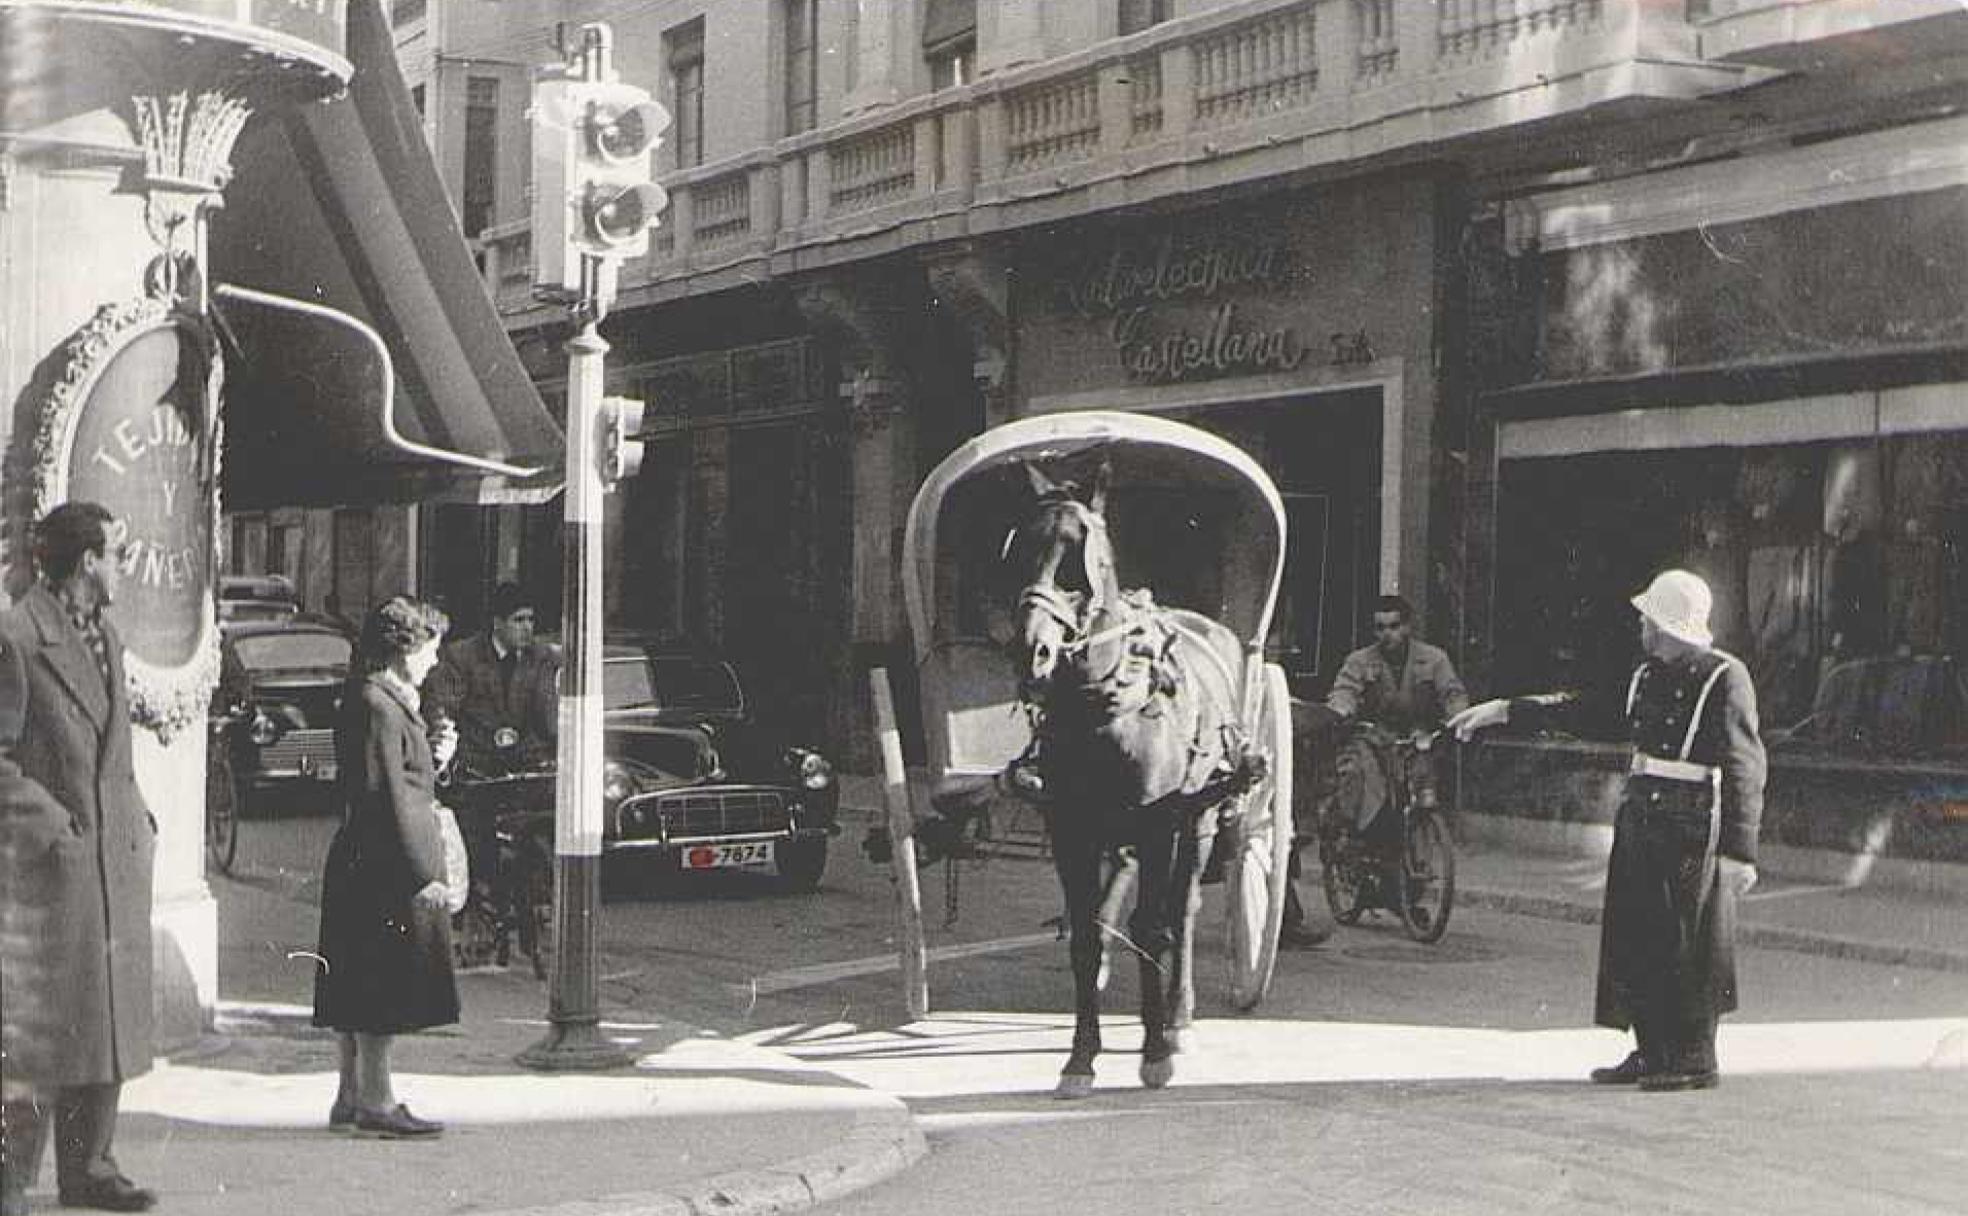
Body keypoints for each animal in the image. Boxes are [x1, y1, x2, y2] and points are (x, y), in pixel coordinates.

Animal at [1007, 458, 1251, 1094]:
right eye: (1019, 550)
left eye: (1080, 555)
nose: (1033, 652)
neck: (1103, 702)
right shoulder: (1072, 828)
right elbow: (1088, 935)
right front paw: (1080, 1057)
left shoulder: (1157, 824)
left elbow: (1152, 930)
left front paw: (1154, 1051)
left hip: (1200, 818)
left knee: (1182, 911)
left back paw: (1178, 1017)